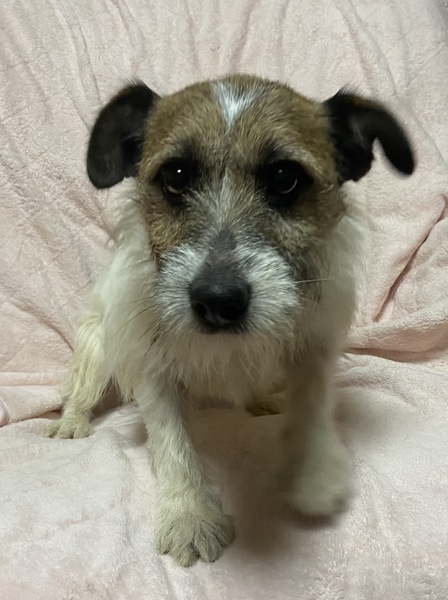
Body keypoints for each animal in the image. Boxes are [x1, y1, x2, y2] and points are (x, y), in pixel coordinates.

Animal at [46, 74, 414, 567]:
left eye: (284, 178)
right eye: (176, 177)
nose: (218, 301)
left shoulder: (313, 346)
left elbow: (312, 406)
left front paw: (314, 475)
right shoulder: (150, 367)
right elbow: (173, 442)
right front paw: (190, 516)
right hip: (97, 348)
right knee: (82, 390)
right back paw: (72, 421)